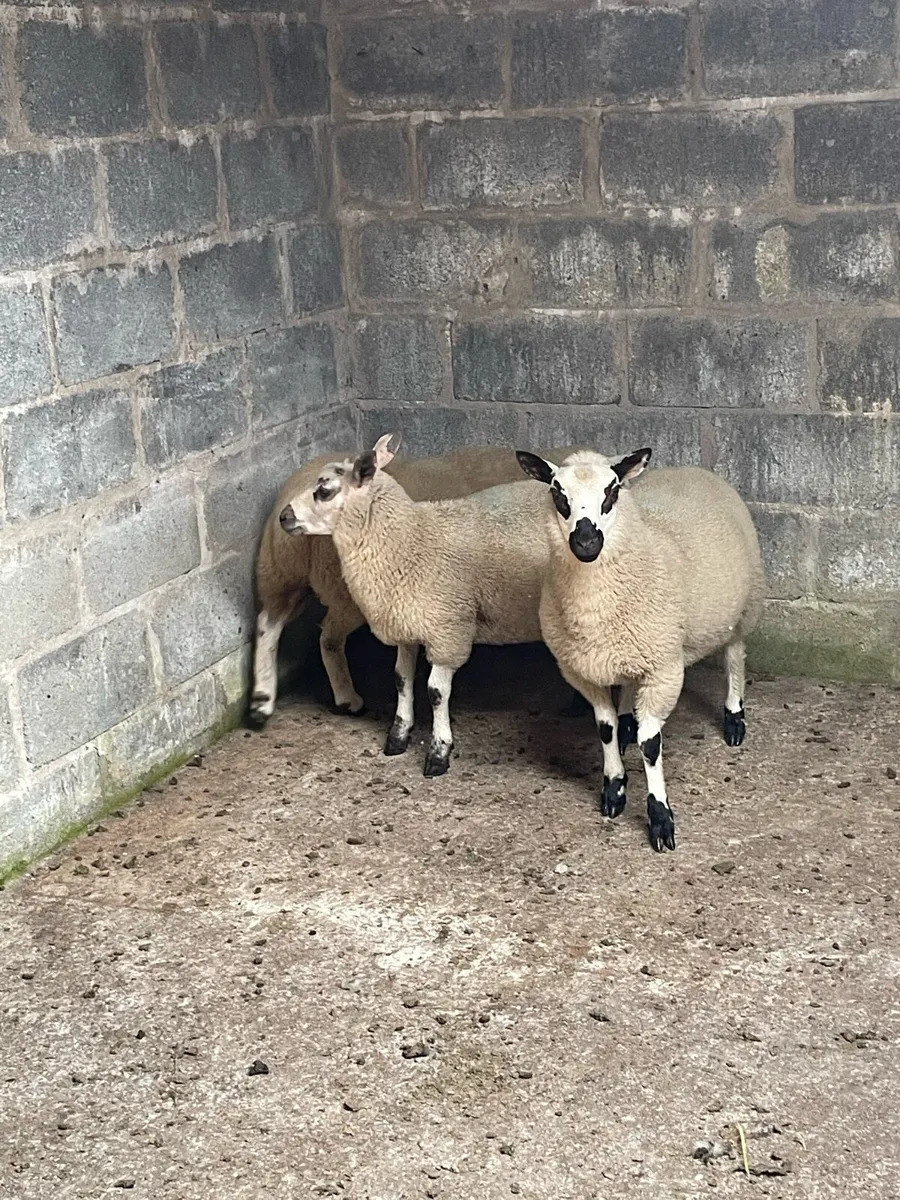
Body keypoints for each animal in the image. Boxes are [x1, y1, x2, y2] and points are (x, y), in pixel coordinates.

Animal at [278, 433, 568, 777]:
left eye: (324, 491)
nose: (283, 517)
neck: (409, 541)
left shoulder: (448, 631)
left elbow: (435, 692)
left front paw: (439, 751)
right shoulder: (407, 625)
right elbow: (401, 679)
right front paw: (398, 734)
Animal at [517, 447, 765, 853]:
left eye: (613, 490)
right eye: (557, 492)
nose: (586, 543)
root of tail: (692, 468)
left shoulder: (664, 669)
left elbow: (651, 745)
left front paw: (660, 819)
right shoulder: (582, 670)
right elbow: (604, 729)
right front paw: (614, 789)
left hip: (742, 606)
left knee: (734, 656)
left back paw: (734, 718)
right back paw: (628, 725)